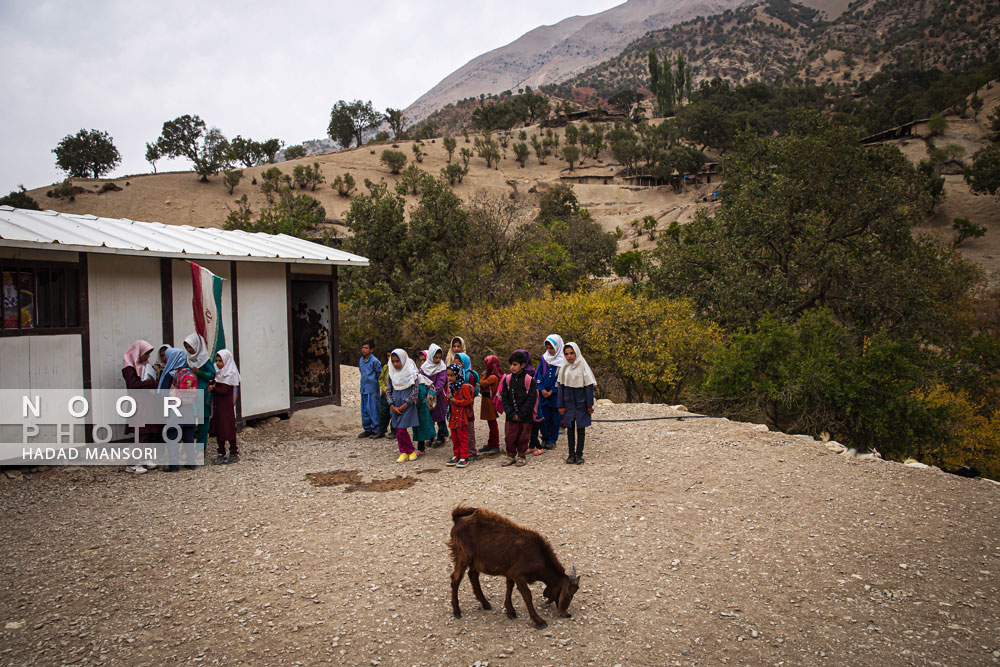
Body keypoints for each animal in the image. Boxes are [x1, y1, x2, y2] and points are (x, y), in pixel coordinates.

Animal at [446, 508, 580, 628]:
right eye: (571, 593)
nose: (567, 614)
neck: (540, 557)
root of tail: (458, 519)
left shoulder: (510, 572)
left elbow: (509, 587)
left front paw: (510, 611)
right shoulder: (518, 574)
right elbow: (527, 595)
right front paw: (539, 621)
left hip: (475, 559)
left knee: (473, 575)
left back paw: (485, 603)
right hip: (463, 554)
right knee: (456, 578)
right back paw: (457, 611)